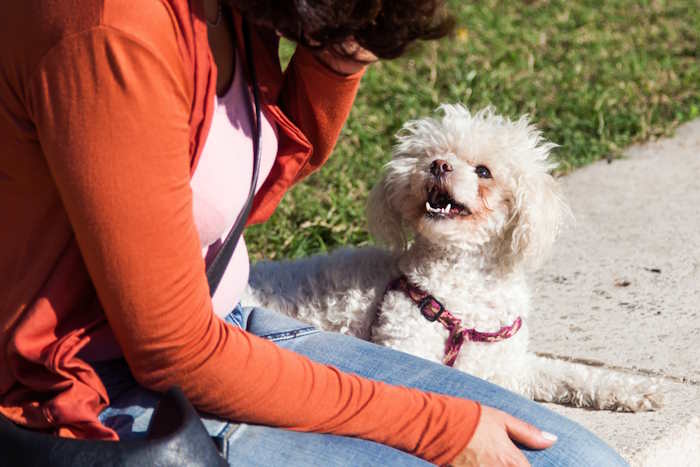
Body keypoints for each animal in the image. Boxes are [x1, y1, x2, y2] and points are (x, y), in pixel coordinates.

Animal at [246, 104, 660, 412]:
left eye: (484, 171)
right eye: (429, 157)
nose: (439, 165)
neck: (466, 281)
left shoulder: (507, 364)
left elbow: (568, 374)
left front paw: (630, 389)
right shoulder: (405, 345)